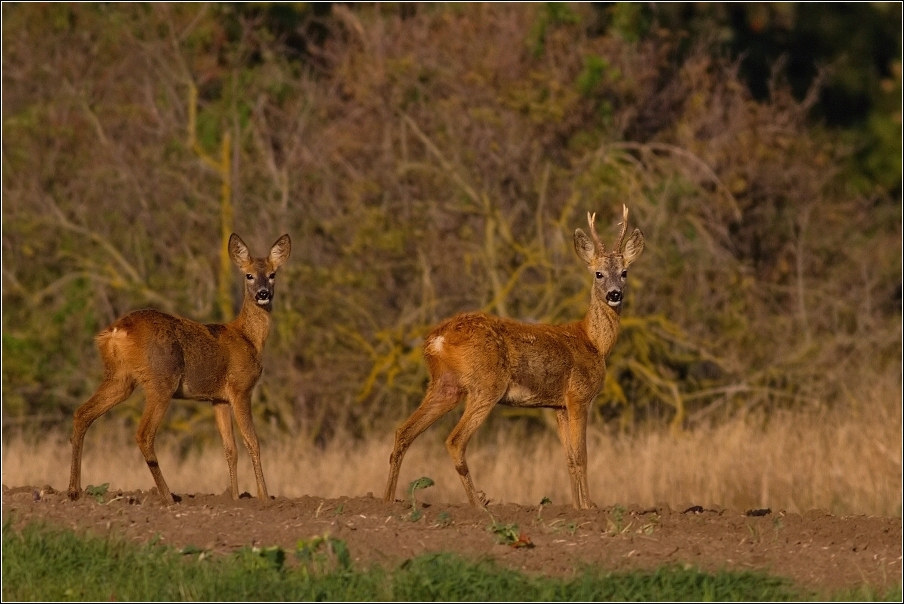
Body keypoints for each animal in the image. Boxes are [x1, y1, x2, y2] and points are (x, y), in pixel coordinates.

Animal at [69, 234, 292, 502]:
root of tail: (116, 331)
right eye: (248, 275)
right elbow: (253, 442)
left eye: (272, 274)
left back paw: (74, 490)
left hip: (120, 378)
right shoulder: (241, 388)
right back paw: (168, 496)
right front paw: (264, 497)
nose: (263, 293)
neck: (248, 338)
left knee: (82, 413)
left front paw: (235, 497)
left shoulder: (218, 399)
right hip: (161, 379)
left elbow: (230, 449)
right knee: (144, 433)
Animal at [382, 205, 644, 508]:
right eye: (598, 273)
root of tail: (437, 339)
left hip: (444, 385)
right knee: (455, 440)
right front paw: (589, 508)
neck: (593, 342)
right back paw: (478, 504)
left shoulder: (558, 405)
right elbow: (582, 457)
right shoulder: (579, 396)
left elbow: (569, 460)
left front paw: (577, 507)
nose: (615, 294)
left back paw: (386, 499)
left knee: (403, 432)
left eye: (624, 272)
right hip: (486, 384)